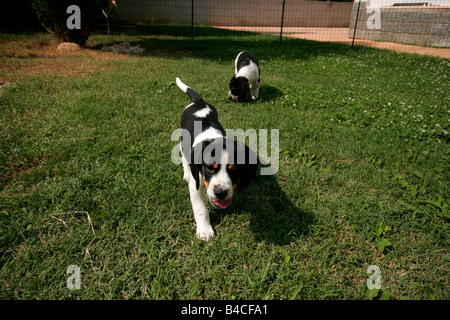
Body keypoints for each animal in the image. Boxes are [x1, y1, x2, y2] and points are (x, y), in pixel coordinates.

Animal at [177, 77, 258, 241]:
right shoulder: (196, 185)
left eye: (235, 170)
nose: (220, 193)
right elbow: (200, 209)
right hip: (182, 140)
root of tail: (198, 101)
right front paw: (205, 231)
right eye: (209, 168)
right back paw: (186, 173)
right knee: (184, 158)